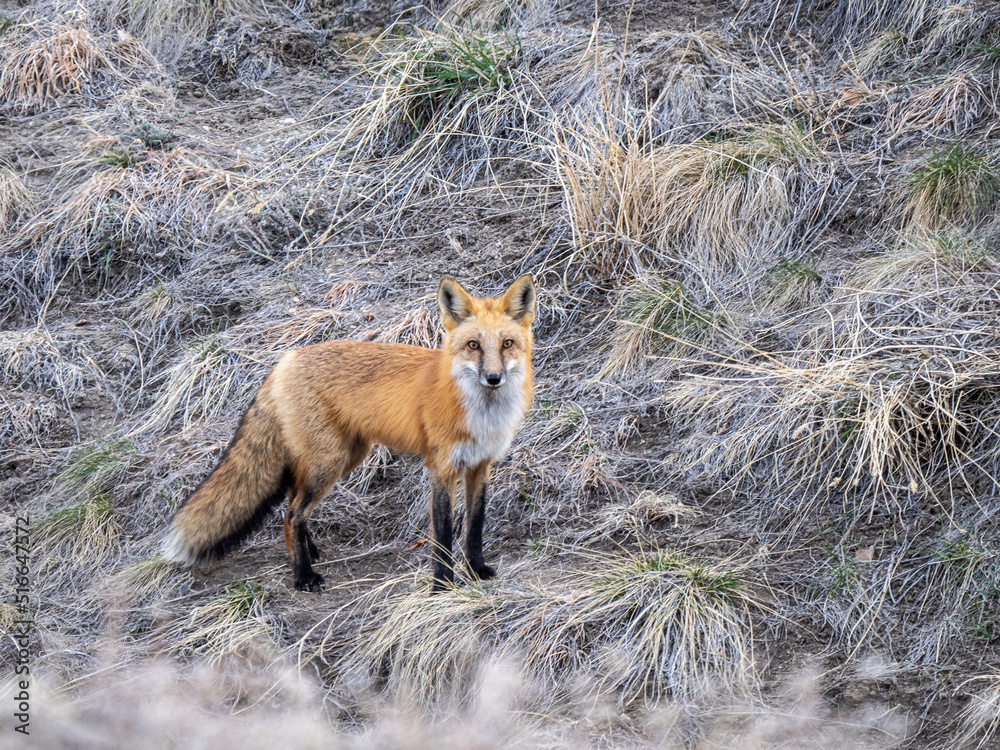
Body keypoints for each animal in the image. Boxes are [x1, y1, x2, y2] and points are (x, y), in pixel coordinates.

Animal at [162, 274, 536, 592]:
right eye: (473, 345)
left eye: (507, 344)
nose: (493, 378)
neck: (482, 415)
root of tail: (284, 361)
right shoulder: (442, 469)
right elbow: (443, 535)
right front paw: (443, 585)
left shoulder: (481, 466)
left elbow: (475, 526)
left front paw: (476, 569)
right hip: (328, 462)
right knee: (294, 512)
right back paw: (303, 576)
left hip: (344, 458)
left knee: (290, 505)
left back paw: (304, 553)